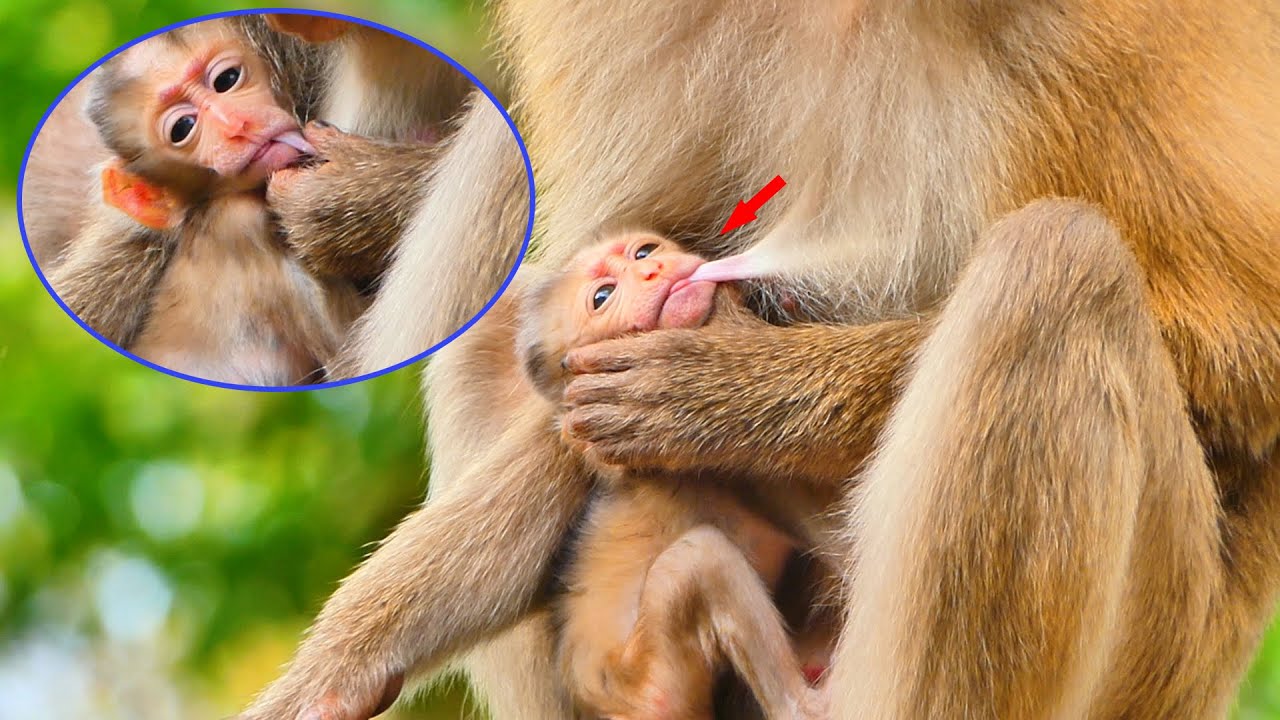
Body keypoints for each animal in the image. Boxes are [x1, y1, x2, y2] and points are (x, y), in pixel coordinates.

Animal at [234, 2, 1280, 719]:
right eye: (620, 279)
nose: (653, 283)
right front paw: (339, 666)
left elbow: (1248, 360)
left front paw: (733, 391)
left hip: (1160, 653)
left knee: (1056, 269)